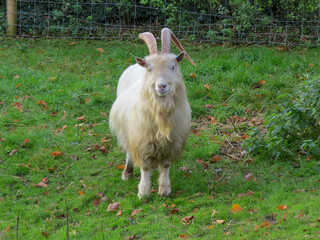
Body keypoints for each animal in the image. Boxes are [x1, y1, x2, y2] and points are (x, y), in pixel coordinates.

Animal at [109, 27, 195, 198]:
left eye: (172, 66)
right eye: (150, 68)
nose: (161, 86)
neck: (161, 115)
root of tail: (136, 66)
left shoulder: (171, 142)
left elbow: (166, 165)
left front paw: (164, 189)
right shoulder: (142, 140)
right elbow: (145, 167)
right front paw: (144, 192)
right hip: (127, 130)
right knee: (128, 152)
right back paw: (127, 172)